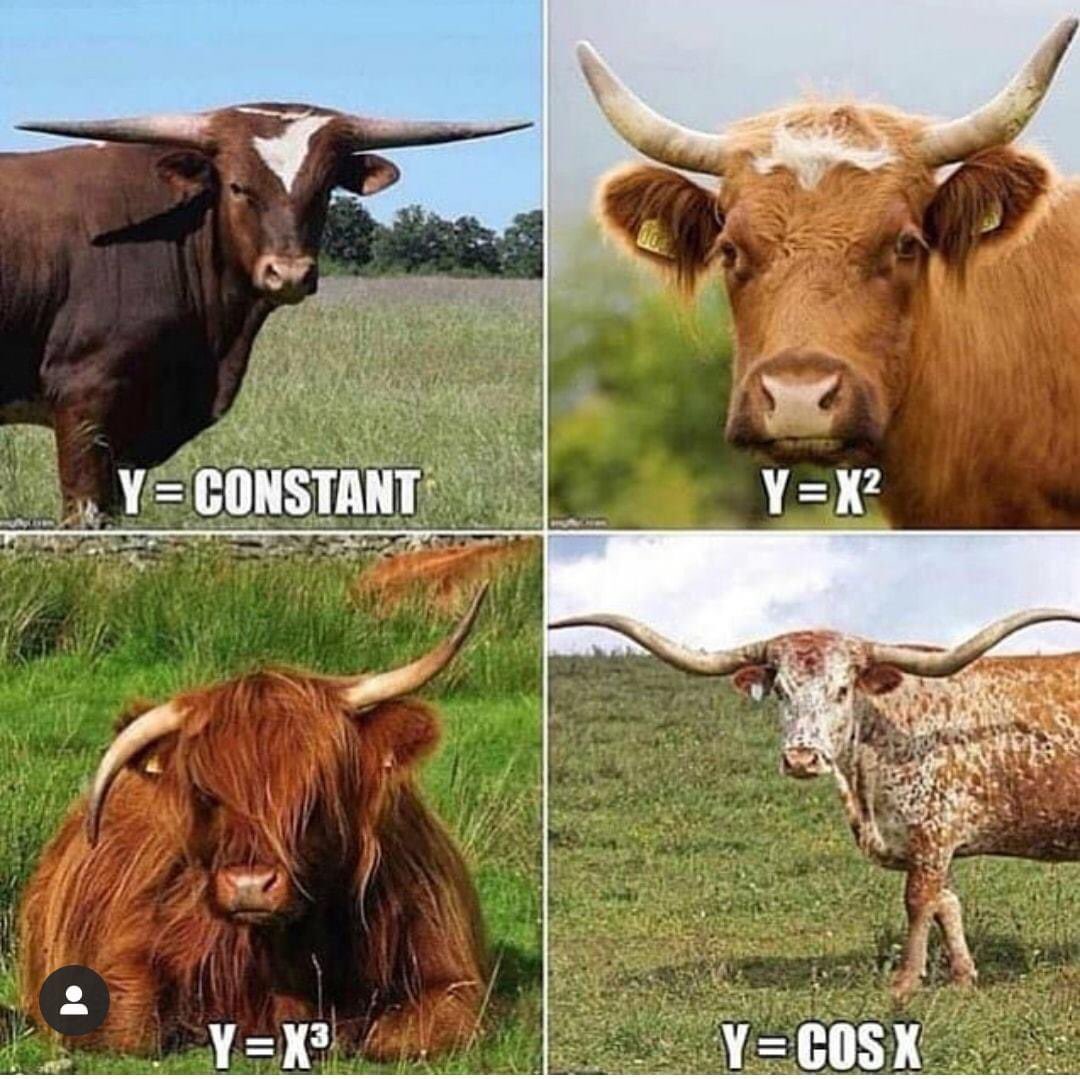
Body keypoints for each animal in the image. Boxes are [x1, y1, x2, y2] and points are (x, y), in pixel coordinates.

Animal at [20, 588, 490, 1058]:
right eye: (206, 795)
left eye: (315, 793)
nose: (250, 885)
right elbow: (132, 1027)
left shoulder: (450, 975)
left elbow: (402, 1036)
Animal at [550, 607, 1080, 1000]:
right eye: (781, 691)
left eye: (842, 689)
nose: (802, 757)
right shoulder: (925, 843)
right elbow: (946, 904)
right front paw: (964, 977)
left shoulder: (931, 834)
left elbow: (918, 902)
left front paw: (904, 985)